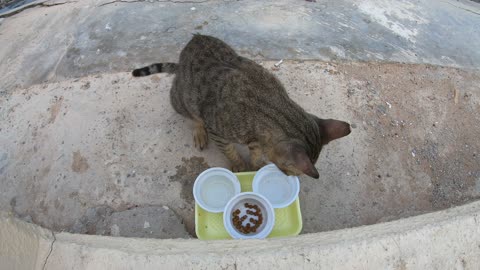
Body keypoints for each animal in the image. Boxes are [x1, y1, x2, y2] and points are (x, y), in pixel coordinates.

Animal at [133, 34, 350, 178]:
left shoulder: (256, 138)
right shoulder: (218, 130)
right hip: (181, 100)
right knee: (192, 115)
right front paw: (238, 164)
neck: (272, 104)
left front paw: (255, 163)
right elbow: (229, 149)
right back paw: (198, 129)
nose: (291, 177)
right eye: (290, 168)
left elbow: (255, 151)